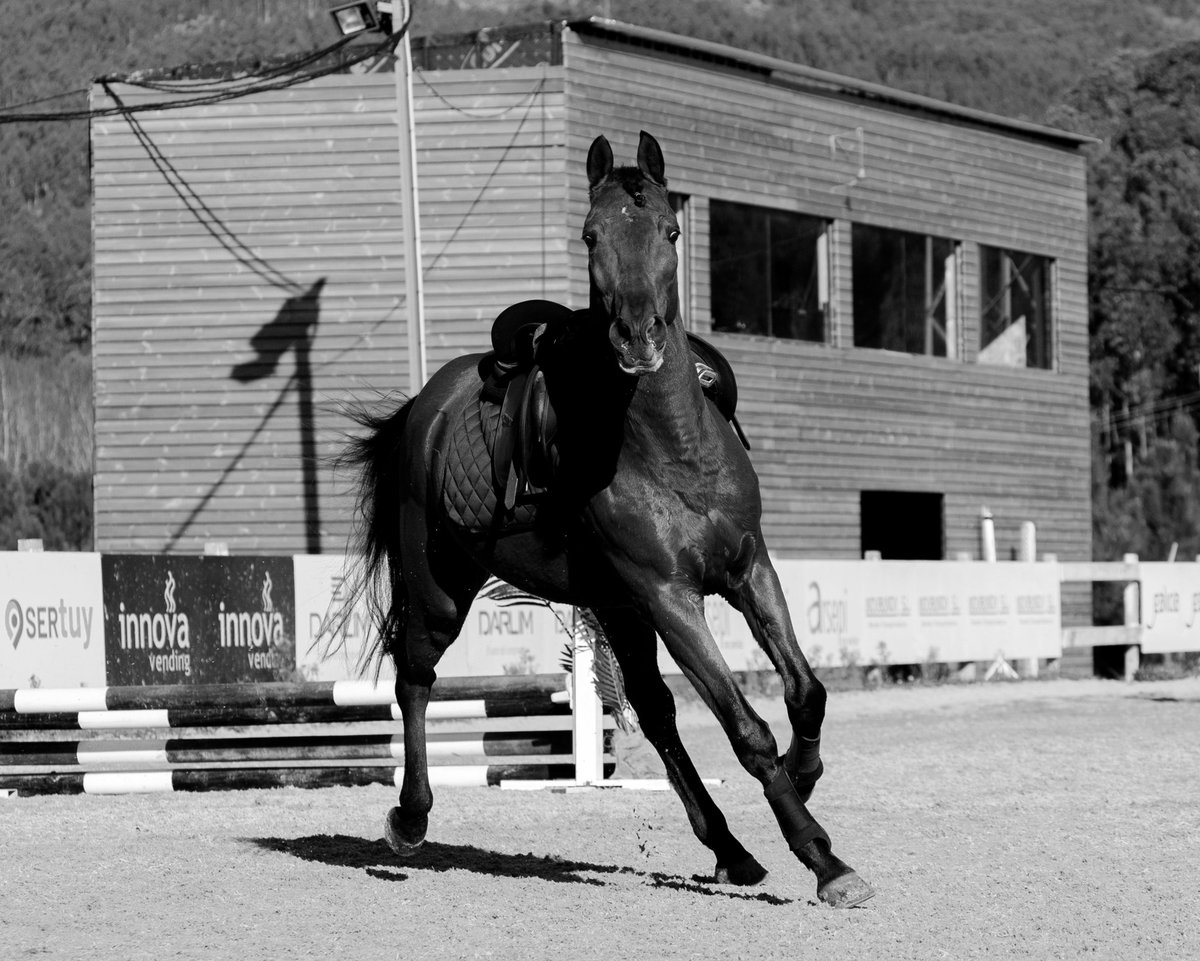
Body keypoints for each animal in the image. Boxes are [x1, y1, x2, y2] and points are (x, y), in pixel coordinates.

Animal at [343, 131, 874, 908]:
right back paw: (410, 818)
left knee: (656, 713)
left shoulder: (748, 567)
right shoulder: (671, 597)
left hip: (615, 606)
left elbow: (806, 691)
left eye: (671, 230)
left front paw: (804, 779)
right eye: (591, 235)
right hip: (444, 587)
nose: (638, 338)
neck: (673, 447)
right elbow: (746, 730)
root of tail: (425, 407)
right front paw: (823, 857)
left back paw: (731, 848)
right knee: (414, 677)